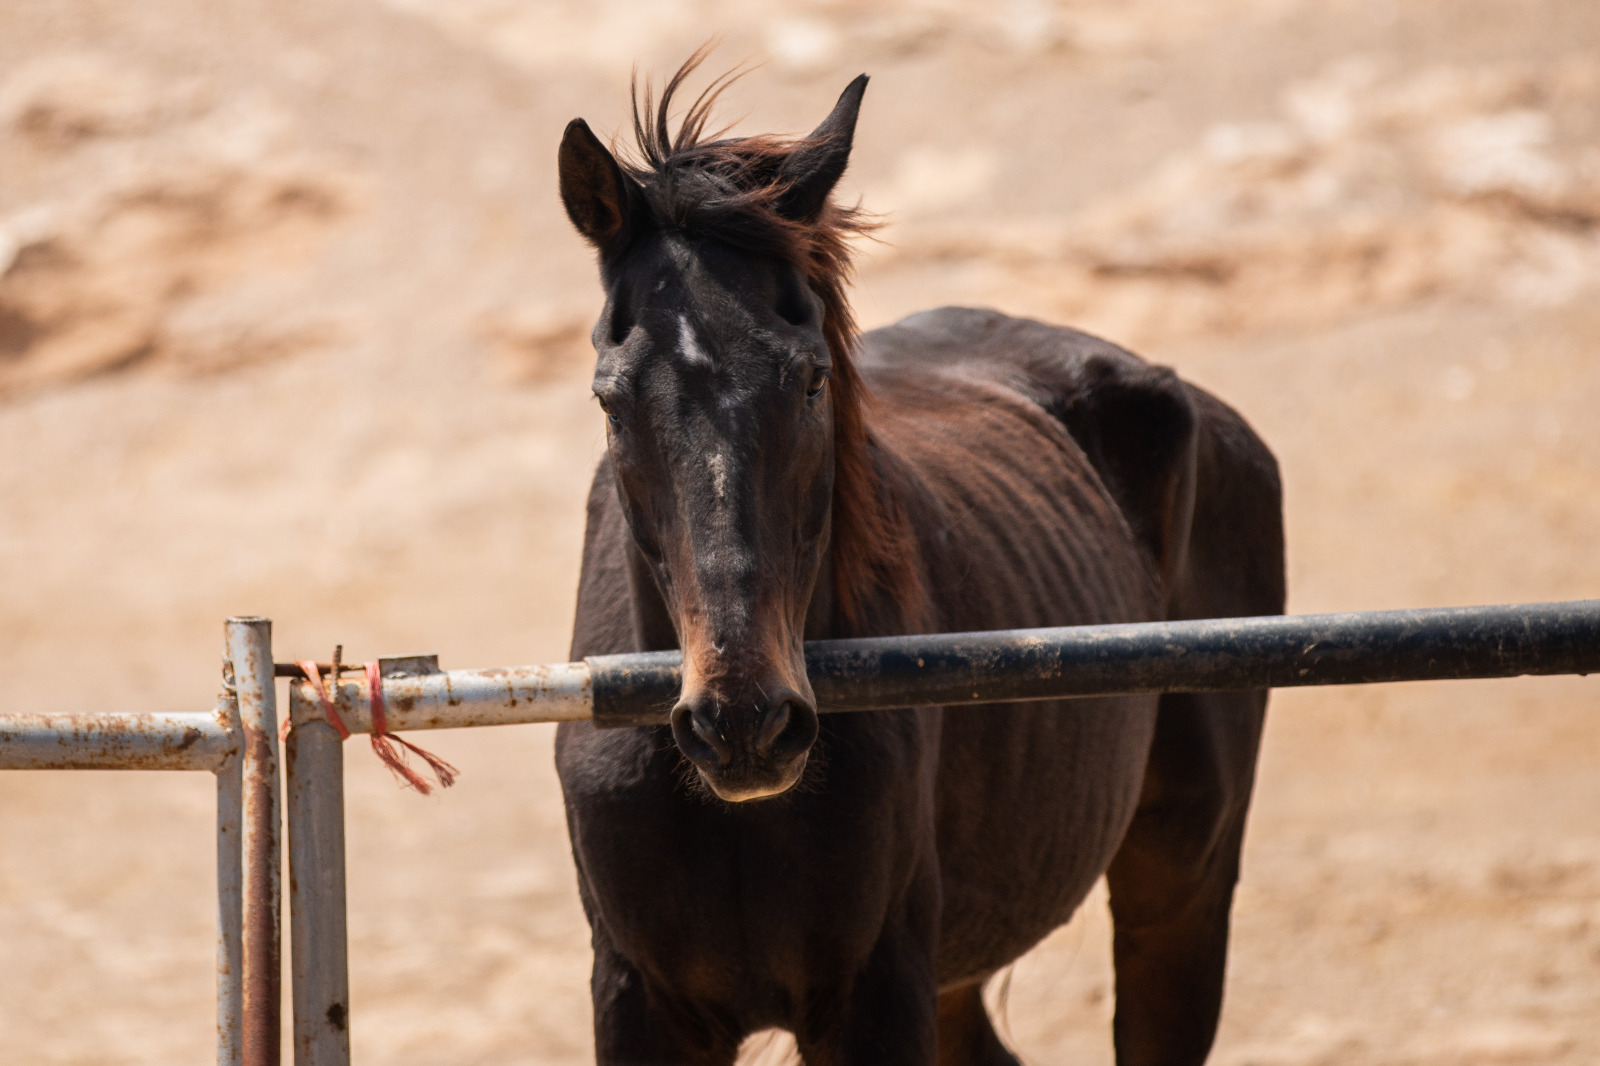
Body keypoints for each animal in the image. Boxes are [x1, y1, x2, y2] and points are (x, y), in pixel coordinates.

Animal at [556, 60, 1280, 1062]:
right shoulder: (638, 1003)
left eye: (811, 377)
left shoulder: (876, 993)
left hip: (1181, 886)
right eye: (611, 398)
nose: (745, 724)